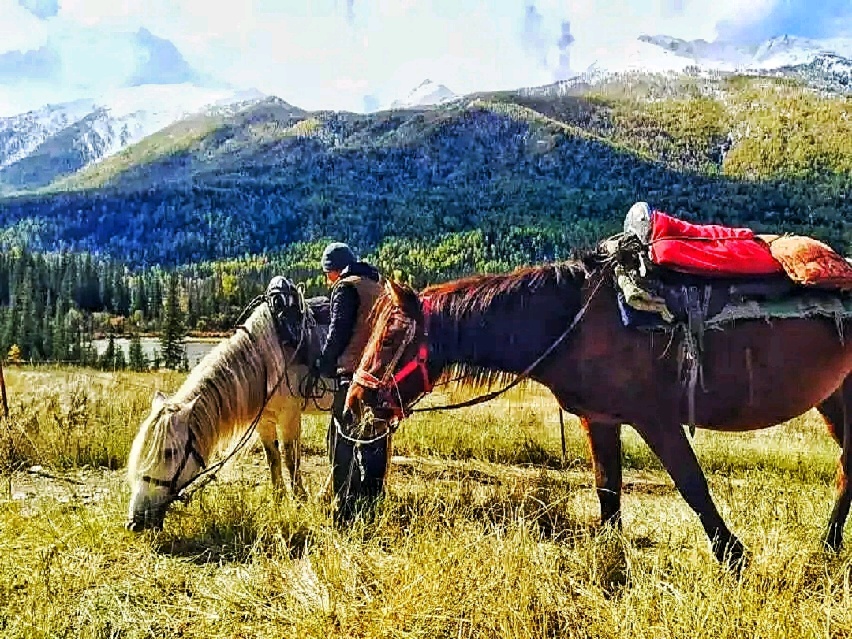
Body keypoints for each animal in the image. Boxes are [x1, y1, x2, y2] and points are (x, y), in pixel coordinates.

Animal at [126, 282, 332, 532]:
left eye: (169, 452)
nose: (135, 521)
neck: (266, 362)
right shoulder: (265, 421)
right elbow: (273, 460)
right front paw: (278, 502)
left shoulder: (290, 417)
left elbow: (291, 461)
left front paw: (300, 503)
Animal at [342, 258, 852, 568]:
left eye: (388, 337)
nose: (354, 403)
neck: (575, 323)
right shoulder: (601, 420)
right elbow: (608, 490)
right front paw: (610, 561)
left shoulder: (655, 420)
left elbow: (692, 485)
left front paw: (732, 558)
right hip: (834, 399)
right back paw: (826, 550)